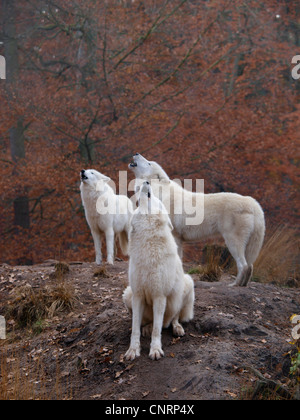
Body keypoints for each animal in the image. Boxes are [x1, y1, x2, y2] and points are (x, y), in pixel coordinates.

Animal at [122, 181, 195, 360]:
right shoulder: (138, 295)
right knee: (150, 323)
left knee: (173, 318)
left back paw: (177, 328)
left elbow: (157, 330)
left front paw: (155, 350)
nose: (146, 182)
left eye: (154, 197)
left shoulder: (159, 296)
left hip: (186, 285)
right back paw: (147, 328)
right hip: (127, 294)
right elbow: (135, 329)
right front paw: (133, 350)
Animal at [129, 153, 264, 288]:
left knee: (243, 265)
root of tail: (253, 203)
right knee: (250, 265)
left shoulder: (174, 235)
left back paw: (234, 284)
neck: (158, 191)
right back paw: (243, 284)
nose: (136, 153)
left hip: (232, 240)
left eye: (149, 163)